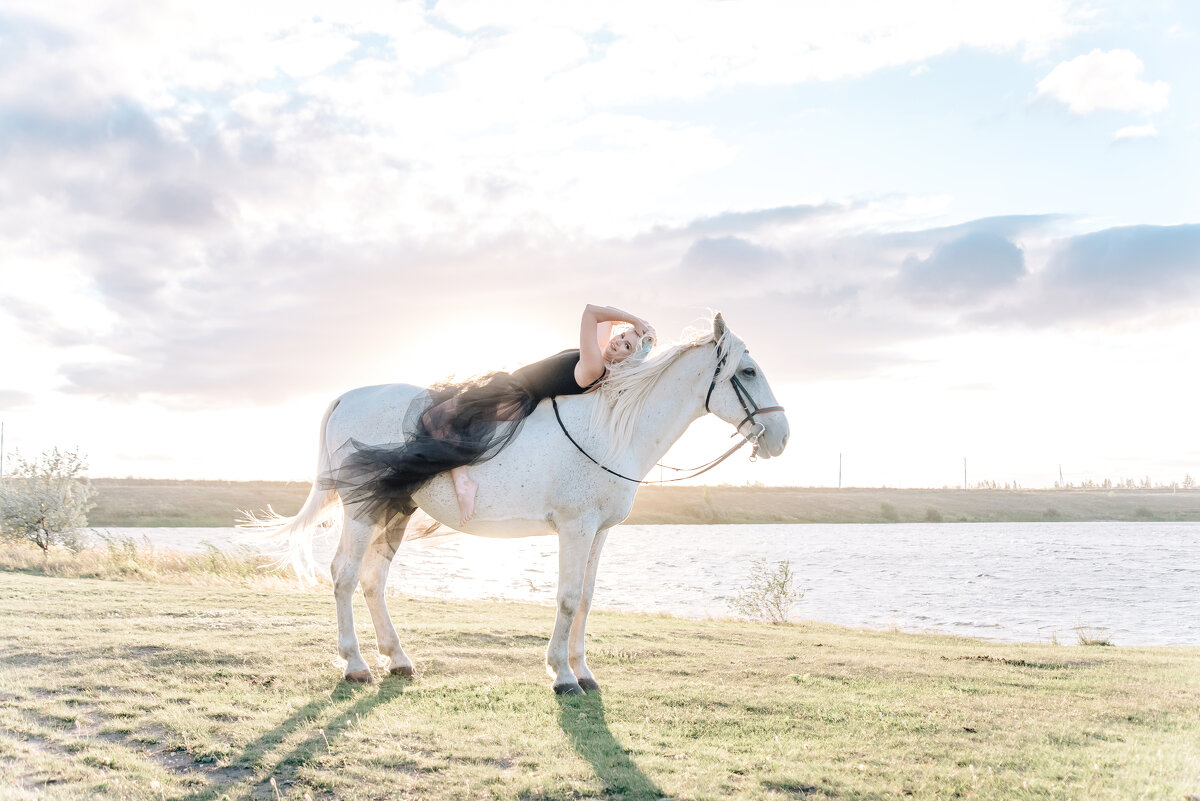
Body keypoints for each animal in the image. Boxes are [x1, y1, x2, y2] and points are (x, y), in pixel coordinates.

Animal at [253, 314, 787, 695]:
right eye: (748, 371)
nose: (780, 438)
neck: (613, 429)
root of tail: (347, 396)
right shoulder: (575, 527)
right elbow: (568, 598)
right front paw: (563, 677)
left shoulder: (599, 532)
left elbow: (587, 598)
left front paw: (584, 672)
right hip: (363, 510)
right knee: (344, 575)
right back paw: (356, 665)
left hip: (395, 510)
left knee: (372, 580)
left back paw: (398, 660)